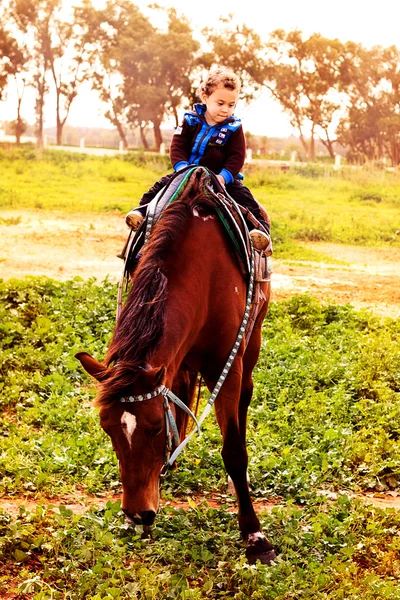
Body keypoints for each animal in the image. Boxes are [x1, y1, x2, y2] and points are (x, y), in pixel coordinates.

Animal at [76, 171, 276, 564]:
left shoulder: (225, 366)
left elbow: (234, 451)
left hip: (253, 340)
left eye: (154, 428)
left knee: (245, 399)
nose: (137, 514)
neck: (204, 272)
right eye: (107, 428)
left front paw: (255, 536)